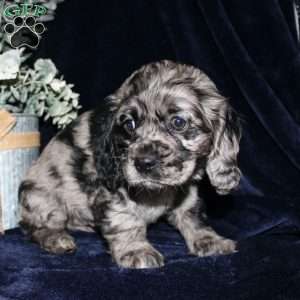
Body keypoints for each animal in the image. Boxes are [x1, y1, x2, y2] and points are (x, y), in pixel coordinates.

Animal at [19, 59, 241, 268]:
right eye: (129, 124)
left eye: (178, 122)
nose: (144, 163)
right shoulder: (112, 190)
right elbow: (125, 218)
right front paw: (136, 250)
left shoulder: (187, 190)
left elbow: (192, 214)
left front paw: (209, 240)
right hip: (41, 199)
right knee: (36, 227)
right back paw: (56, 238)